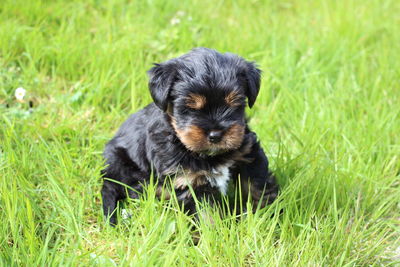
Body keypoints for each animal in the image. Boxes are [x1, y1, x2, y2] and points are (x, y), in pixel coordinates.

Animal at [101, 47, 278, 225]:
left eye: (234, 105)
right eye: (190, 107)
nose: (215, 135)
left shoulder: (249, 154)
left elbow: (256, 187)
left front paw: (265, 217)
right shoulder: (189, 182)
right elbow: (206, 213)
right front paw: (213, 232)